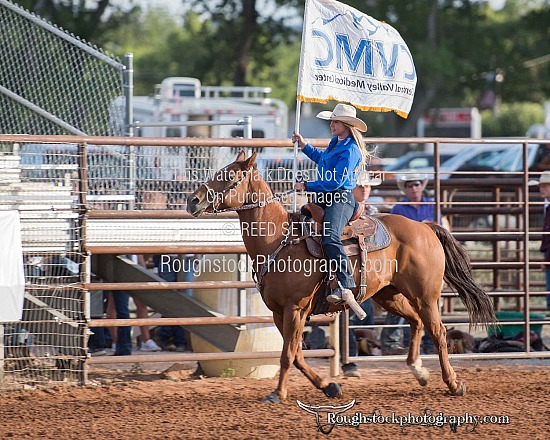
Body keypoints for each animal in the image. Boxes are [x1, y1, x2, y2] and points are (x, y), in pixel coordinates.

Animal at [188, 151, 498, 402]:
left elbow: (287, 355)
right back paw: (419, 371)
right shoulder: (279, 312)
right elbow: (297, 354)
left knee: (439, 331)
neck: (278, 239)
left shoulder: (295, 308)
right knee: (417, 323)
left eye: (229, 175)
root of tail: (424, 226)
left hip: (425, 296)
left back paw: (454, 383)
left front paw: (278, 393)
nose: (193, 200)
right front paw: (329, 386)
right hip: (388, 295)